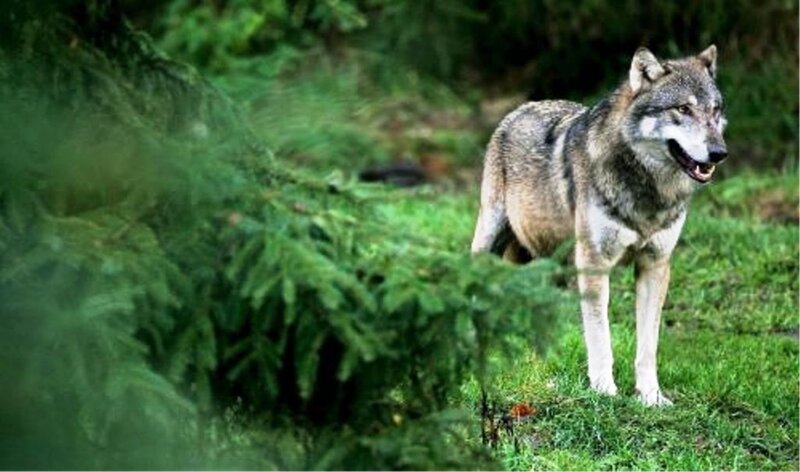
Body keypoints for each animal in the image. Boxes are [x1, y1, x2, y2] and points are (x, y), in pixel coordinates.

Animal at [471, 46, 727, 406]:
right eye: (683, 109)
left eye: (715, 110)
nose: (719, 153)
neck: (647, 192)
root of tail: (520, 108)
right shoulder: (594, 265)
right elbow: (600, 336)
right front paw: (604, 390)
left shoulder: (655, 265)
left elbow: (648, 346)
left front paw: (650, 396)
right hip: (491, 240)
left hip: (549, 265)